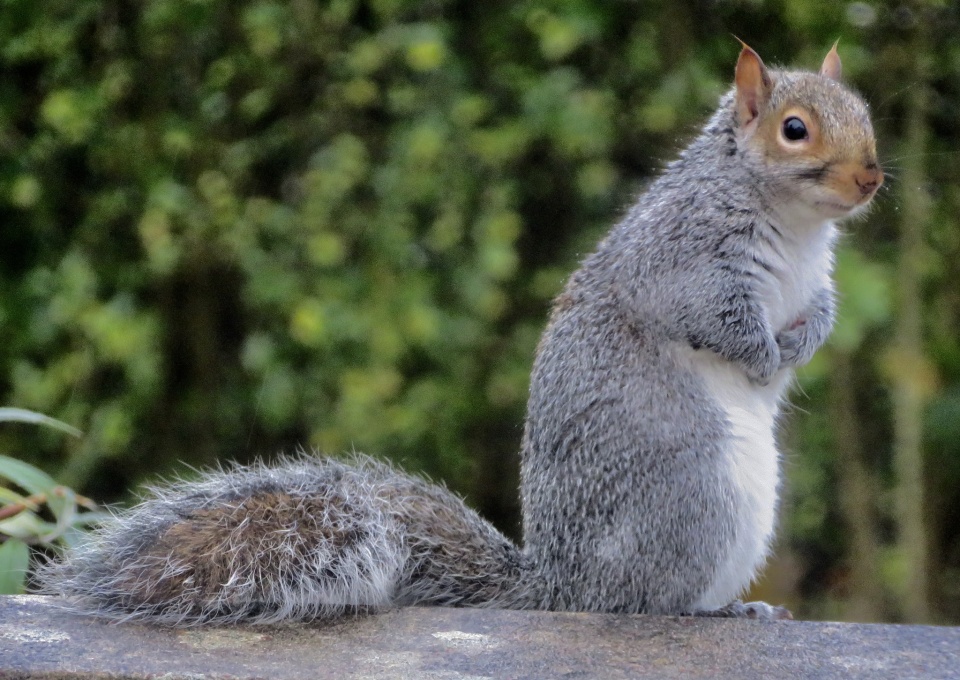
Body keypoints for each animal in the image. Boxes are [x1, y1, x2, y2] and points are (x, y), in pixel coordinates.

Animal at [38, 43, 882, 626]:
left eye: (866, 115)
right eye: (795, 130)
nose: (872, 177)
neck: (797, 229)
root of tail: (559, 588)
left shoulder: (816, 280)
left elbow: (825, 310)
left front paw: (802, 344)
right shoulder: (682, 264)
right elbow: (716, 320)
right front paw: (765, 354)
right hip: (697, 497)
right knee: (644, 603)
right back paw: (712, 607)